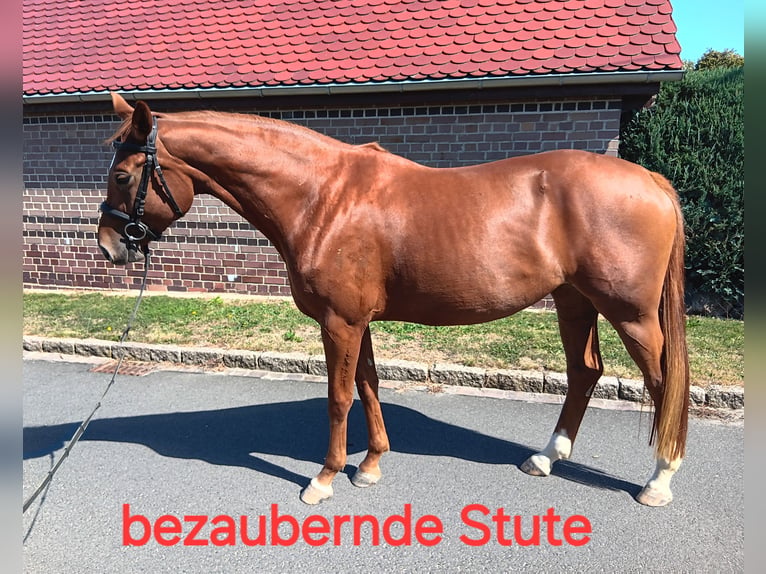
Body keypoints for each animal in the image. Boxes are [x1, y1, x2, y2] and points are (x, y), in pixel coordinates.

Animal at [97, 93, 689, 507]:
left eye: (123, 174)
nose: (107, 246)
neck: (322, 196)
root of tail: (652, 180)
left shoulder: (339, 322)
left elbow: (338, 398)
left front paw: (324, 478)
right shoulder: (357, 321)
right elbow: (368, 386)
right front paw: (370, 465)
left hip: (632, 315)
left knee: (664, 383)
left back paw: (659, 480)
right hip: (574, 301)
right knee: (585, 371)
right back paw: (546, 458)